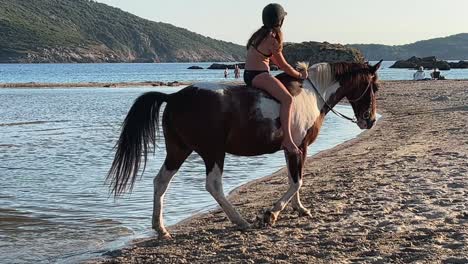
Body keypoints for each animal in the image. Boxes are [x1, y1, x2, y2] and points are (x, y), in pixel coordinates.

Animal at [106, 59, 380, 239]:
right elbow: (297, 181)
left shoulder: (293, 149)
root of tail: (173, 97)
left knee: (160, 182)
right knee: (213, 185)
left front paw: (299, 209)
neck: (311, 94)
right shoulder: (298, 147)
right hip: (213, 152)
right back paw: (240, 221)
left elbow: (295, 180)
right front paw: (271, 214)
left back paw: (161, 229)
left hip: (179, 150)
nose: (370, 120)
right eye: (374, 87)